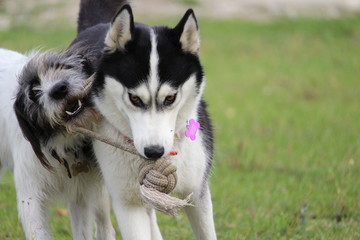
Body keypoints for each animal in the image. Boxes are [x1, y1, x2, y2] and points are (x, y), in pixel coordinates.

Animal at [0, 47, 114, 240]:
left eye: (62, 66)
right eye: (33, 92)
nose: (59, 89)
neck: (61, 142)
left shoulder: (81, 193)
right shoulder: (30, 198)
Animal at [71, 4, 215, 239]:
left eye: (170, 98)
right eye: (134, 98)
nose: (154, 152)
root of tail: (100, 24)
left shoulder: (198, 194)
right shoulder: (127, 205)